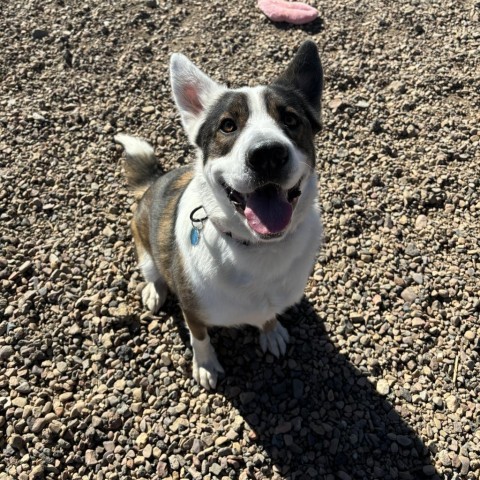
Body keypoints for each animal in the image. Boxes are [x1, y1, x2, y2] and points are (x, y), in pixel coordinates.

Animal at [115, 39, 322, 388]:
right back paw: (155, 291)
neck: (258, 248)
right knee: (152, 272)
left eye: (291, 120)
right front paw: (205, 365)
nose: (268, 154)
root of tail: (155, 181)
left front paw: (271, 332)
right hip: (144, 249)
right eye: (228, 125)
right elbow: (200, 338)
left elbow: (268, 315)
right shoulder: (193, 310)